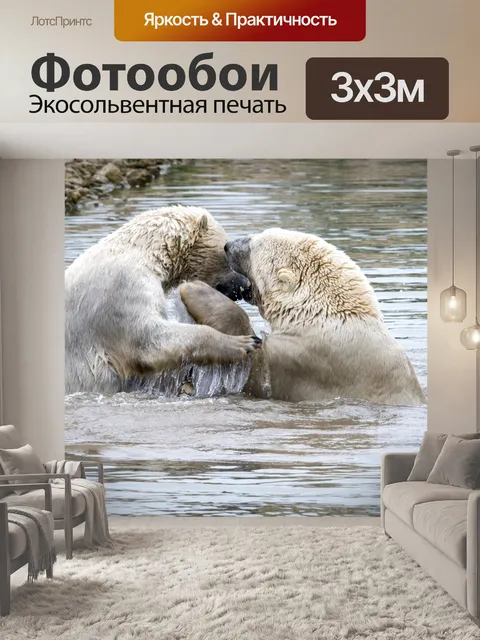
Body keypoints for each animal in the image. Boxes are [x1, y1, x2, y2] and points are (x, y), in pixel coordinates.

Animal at [65, 205, 261, 394]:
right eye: (225, 251)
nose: (245, 284)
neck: (143, 252)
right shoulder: (121, 289)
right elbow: (148, 340)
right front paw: (244, 343)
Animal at [180, 228, 426, 406]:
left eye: (254, 245)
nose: (228, 246)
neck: (321, 315)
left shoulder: (305, 360)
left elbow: (255, 373)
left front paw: (195, 289)